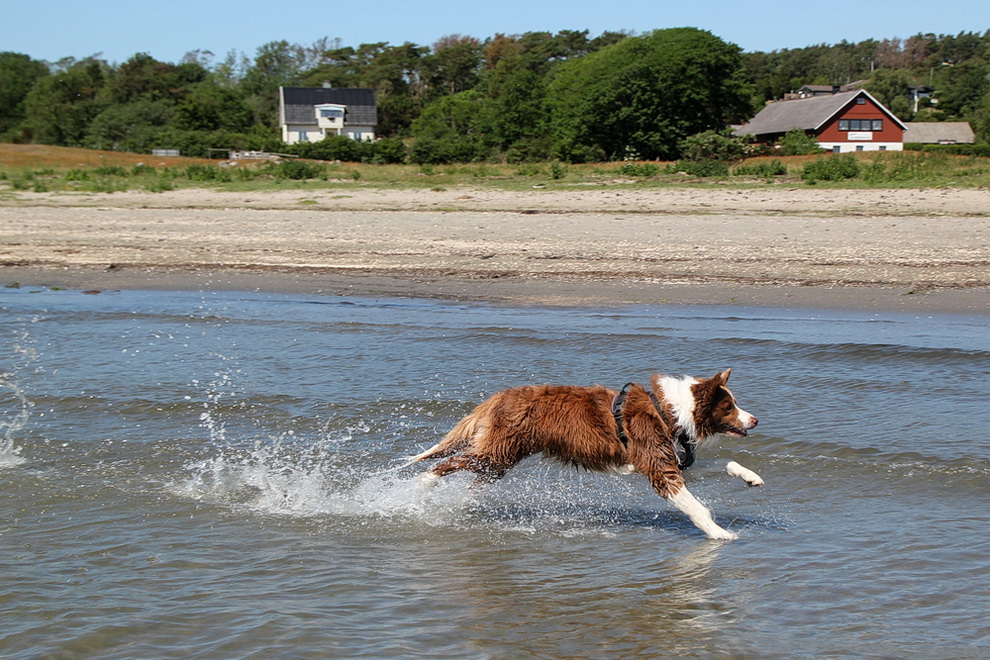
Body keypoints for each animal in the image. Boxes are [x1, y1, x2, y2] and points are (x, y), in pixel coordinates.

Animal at [406, 368, 764, 540]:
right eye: (729, 407)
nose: (755, 420)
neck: (670, 411)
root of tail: (500, 396)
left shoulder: (668, 457)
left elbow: (723, 464)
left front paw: (751, 477)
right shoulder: (657, 464)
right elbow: (694, 506)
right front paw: (721, 534)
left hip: (500, 459)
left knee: (469, 478)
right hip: (497, 454)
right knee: (444, 464)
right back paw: (417, 489)